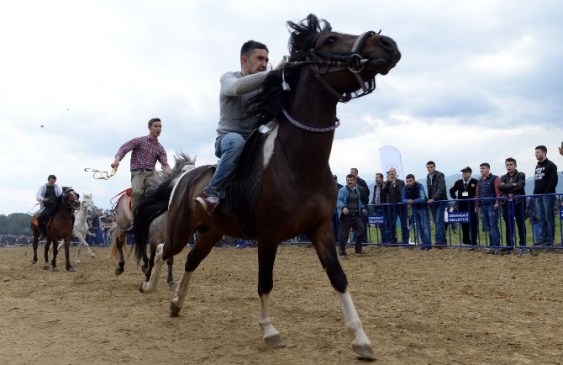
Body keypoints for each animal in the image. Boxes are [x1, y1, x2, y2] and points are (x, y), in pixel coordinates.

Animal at [133, 13, 400, 358]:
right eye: (329, 40)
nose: (388, 44)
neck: (297, 163)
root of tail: (184, 178)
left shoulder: (321, 229)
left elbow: (339, 278)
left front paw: (361, 339)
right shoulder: (269, 235)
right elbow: (265, 281)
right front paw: (269, 330)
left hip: (211, 233)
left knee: (190, 260)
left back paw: (176, 303)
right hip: (182, 230)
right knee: (163, 249)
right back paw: (149, 286)